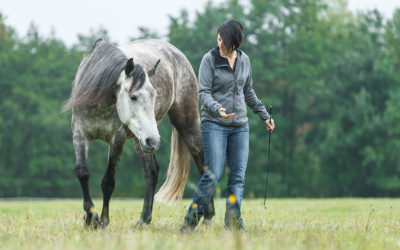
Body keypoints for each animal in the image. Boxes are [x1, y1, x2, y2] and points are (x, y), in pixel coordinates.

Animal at [64, 39, 216, 229]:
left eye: (154, 95)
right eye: (133, 97)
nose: (155, 140)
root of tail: (174, 51)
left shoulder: (117, 140)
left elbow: (108, 182)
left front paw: (103, 221)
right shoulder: (80, 136)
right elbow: (82, 172)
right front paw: (90, 218)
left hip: (184, 124)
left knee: (202, 163)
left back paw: (207, 216)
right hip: (142, 140)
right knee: (151, 171)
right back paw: (144, 219)